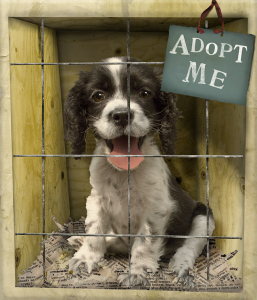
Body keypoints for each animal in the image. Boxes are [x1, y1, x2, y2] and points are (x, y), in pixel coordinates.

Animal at [64, 56, 214, 288]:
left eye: (144, 93)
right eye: (98, 96)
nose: (121, 115)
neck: (123, 172)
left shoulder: (156, 208)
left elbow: (145, 241)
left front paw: (138, 271)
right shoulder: (97, 199)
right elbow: (95, 231)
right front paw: (85, 257)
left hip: (203, 217)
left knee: (189, 246)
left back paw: (180, 265)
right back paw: (79, 240)